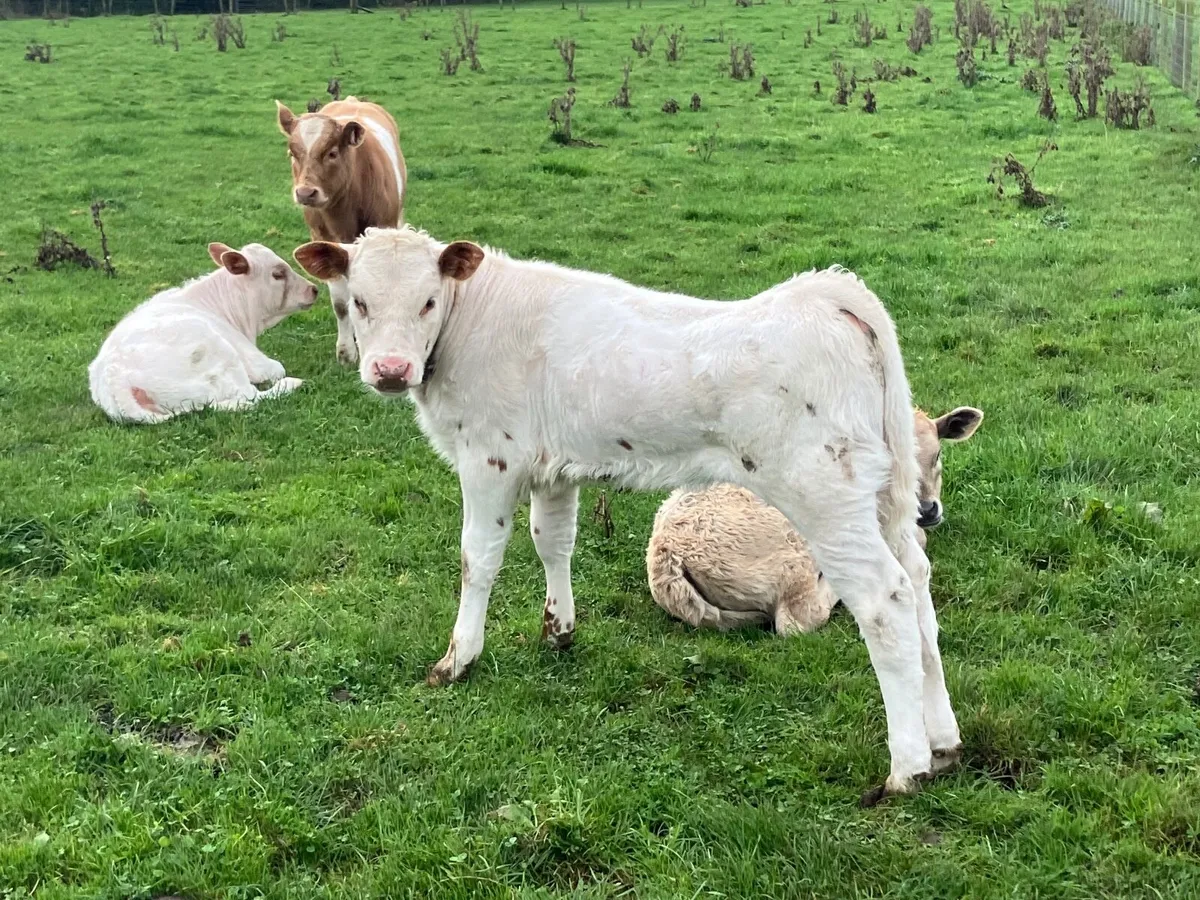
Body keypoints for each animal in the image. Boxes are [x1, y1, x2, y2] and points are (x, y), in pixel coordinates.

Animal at [88, 242, 317, 425]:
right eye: (278, 274)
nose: (314, 289)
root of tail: (115, 381)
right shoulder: (254, 360)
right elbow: (277, 368)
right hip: (221, 354)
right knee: (248, 396)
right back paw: (293, 383)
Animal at [275, 97, 406, 366]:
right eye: (293, 153)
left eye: (332, 153)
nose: (305, 193)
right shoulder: (324, 243)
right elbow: (340, 304)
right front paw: (346, 352)